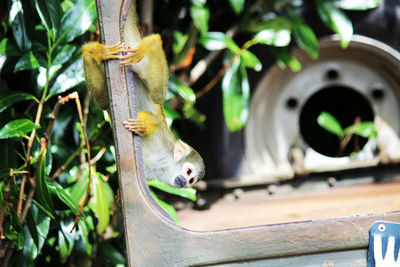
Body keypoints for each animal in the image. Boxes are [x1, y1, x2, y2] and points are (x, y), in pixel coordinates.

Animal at [82, 1, 205, 188]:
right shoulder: (165, 141)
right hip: (138, 62)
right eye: (189, 171)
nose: (184, 182)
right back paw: (151, 43)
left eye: (191, 181)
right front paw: (143, 125)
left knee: (103, 102)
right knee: (158, 95)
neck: (166, 165)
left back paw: (89, 52)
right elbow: (148, 116)